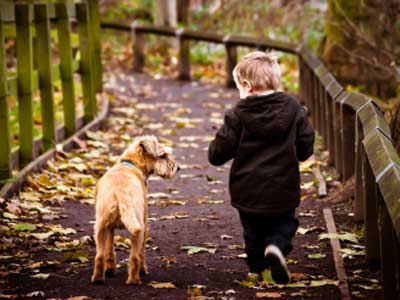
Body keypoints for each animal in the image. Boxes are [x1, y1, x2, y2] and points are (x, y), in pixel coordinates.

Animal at [91, 135, 179, 284]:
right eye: (163, 155)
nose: (178, 168)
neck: (130, 165)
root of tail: (120, 192)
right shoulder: (145, 222)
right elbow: (142, 252)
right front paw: (143, 270)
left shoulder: (109, 228)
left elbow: (109, 249)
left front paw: (110, 270)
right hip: (139, 227)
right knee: (135, 257)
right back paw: (135, 279)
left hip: (100, 227)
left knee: (99, 255)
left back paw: (98, 279)